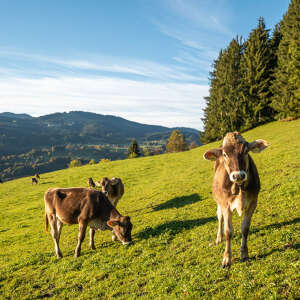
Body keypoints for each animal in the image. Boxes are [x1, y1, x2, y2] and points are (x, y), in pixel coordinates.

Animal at [203, 131, 268, 268]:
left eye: (246, 151)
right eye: (225, 154)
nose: (238, 175)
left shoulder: (253, 203)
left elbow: (245, 228)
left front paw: (244, 254)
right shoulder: (225, 205)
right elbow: (228, 231)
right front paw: (226, 259)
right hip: (219, 202)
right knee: (219, 216)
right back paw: (219, 238)